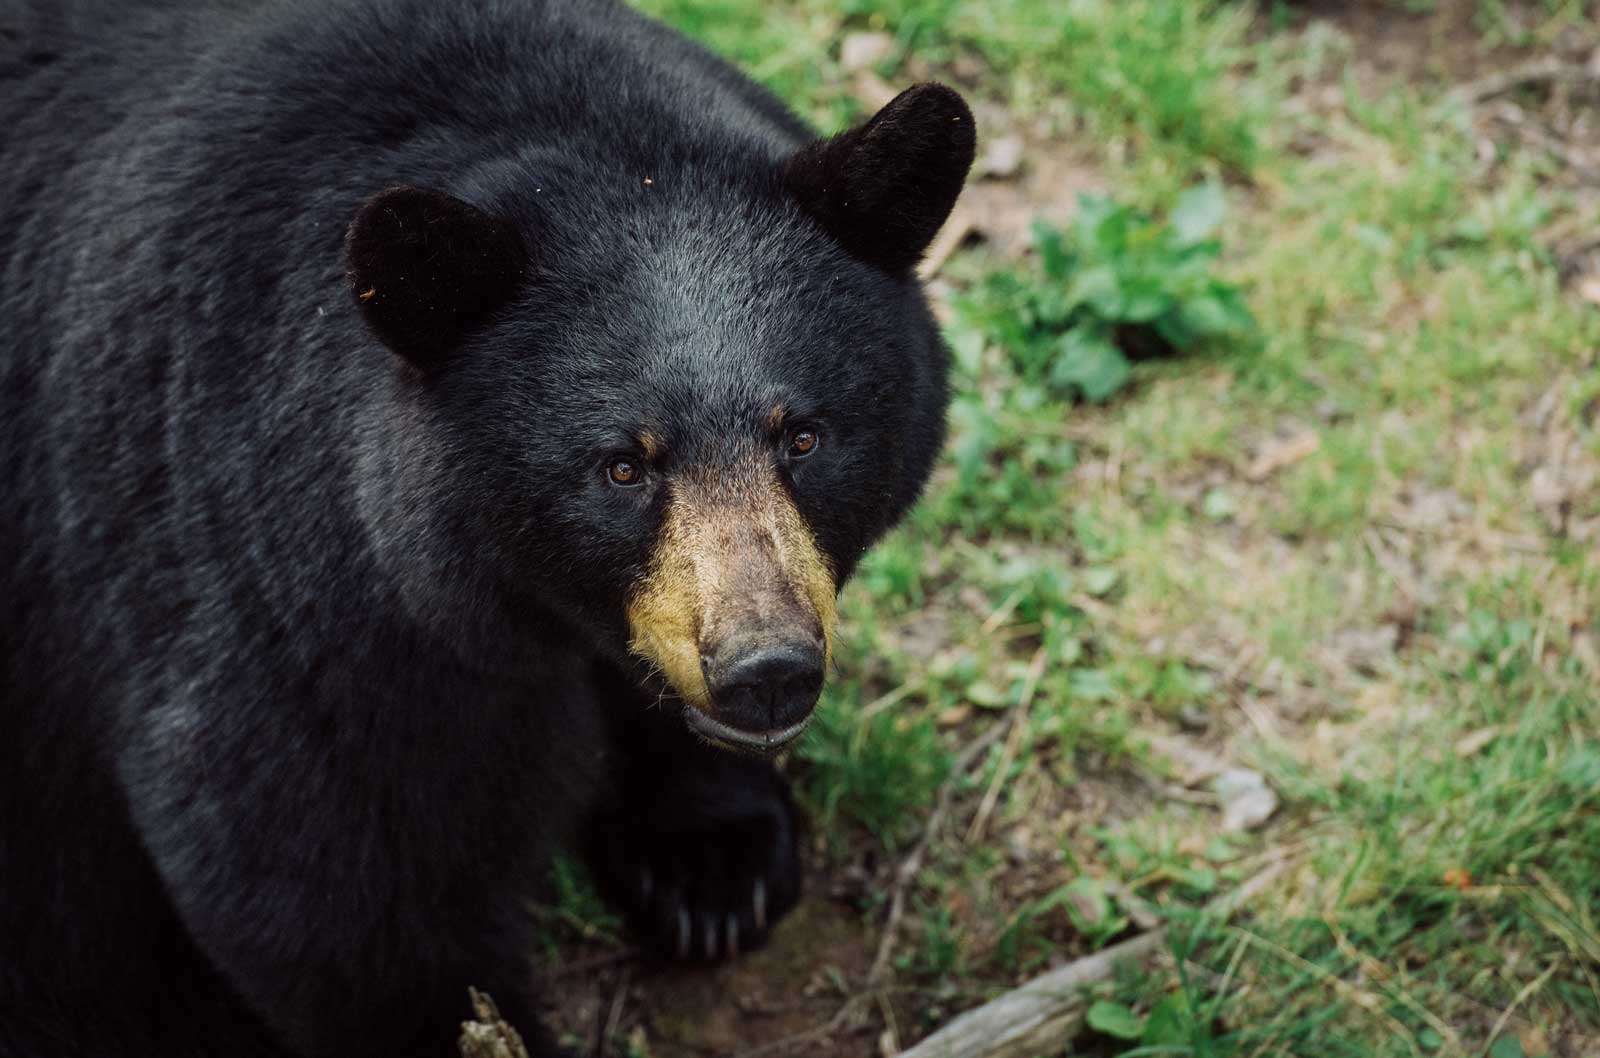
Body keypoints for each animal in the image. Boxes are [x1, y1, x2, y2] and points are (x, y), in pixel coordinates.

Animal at [0, 0, 972, 1049]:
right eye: (623, 465)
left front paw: (717, 866)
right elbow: (322, 871)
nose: (766, 671)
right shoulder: (247, 556)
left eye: (802, 436)